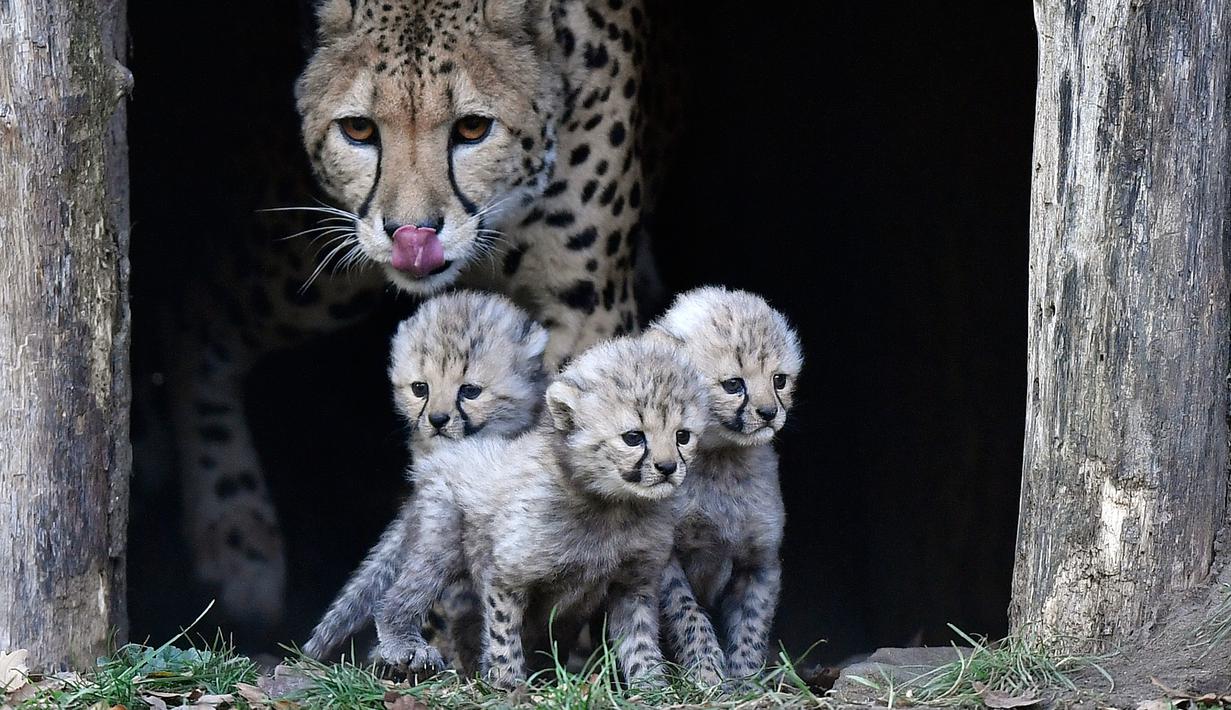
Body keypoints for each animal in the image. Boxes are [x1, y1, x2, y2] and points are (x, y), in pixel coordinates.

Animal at [373, 337, 710, 689]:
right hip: (441, 540)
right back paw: (404, 645)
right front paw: (507, 684)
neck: (612, 507)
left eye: (682, 436)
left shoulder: (632, 584)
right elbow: (503, 634)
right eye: (633, 437)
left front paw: (650, 686)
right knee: (403, 595)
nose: (667, 468)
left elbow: (640, 641)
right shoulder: (506, 575)